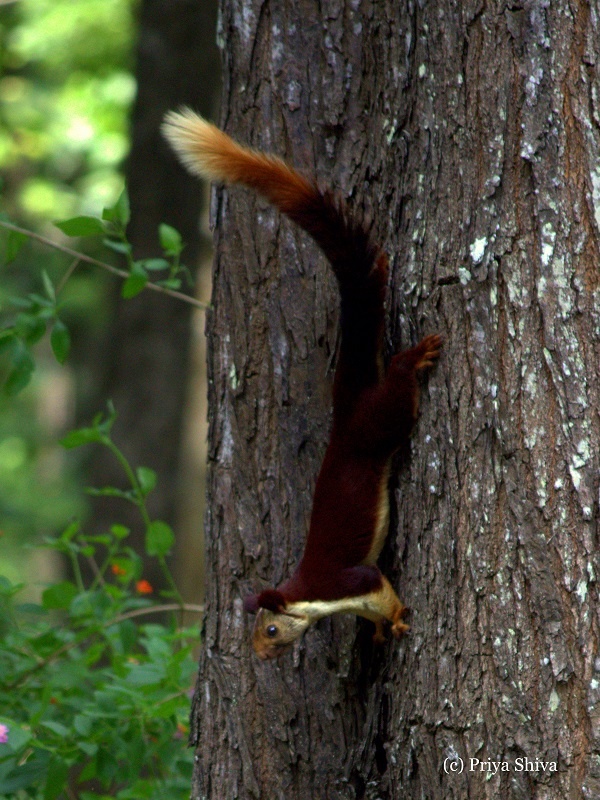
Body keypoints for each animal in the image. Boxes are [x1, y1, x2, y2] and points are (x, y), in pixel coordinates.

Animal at [161, 109, 440, 660]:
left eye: (270, 630)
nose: (261, 655)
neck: (310, 595)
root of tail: (348, 408)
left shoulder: (350, 581)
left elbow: (382, 591)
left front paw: (398, 618)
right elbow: (370, 615)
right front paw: (379, 632)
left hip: (381, 419)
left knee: (397, 390)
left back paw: (416, 357)